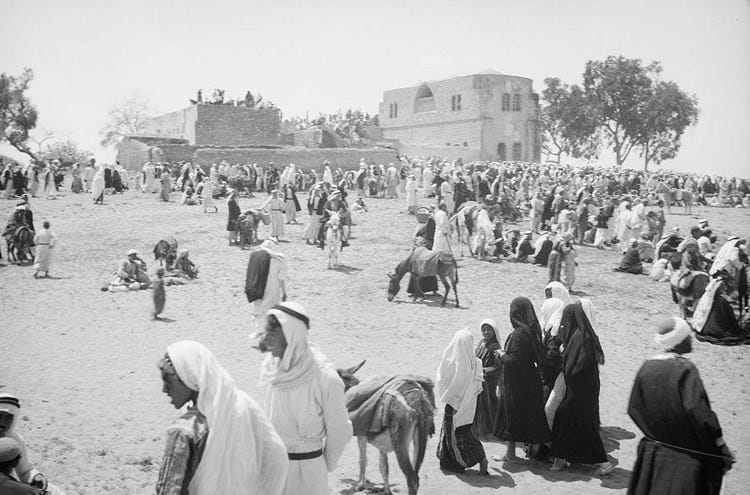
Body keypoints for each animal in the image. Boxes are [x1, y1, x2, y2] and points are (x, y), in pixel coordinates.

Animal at [337, 361, 435, 495]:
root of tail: (418, 403)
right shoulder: (381, 443)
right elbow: (384, 466)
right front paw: (387, 490)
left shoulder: (361, 435)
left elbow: (363, 460)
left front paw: (360, 485)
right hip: (421, 439)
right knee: (416, 475)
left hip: (400, 444)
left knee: (411, 479)